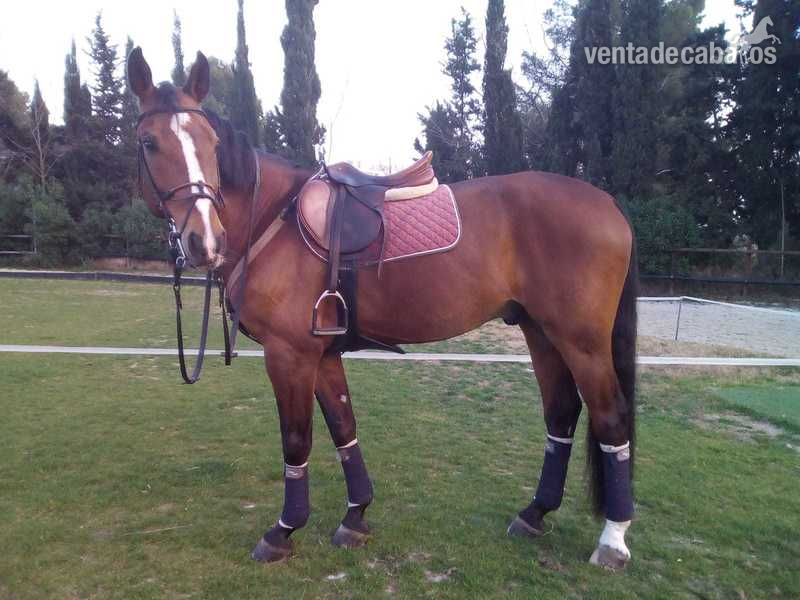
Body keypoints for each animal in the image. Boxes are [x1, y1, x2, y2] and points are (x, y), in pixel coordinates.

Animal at [127, 48, 639, 570]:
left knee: (610, 418)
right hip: (540, 332)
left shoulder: (289, 355)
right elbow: (343, 429)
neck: (273, 217)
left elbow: (296, 440)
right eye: (149, 142)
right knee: (561, 414)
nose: (205, 240)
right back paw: (534, 513)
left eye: (211, 143)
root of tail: (609, 203)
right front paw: (355, 517)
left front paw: (284, 530)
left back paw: (613, 539)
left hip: (581, 341)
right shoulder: (321, 355)